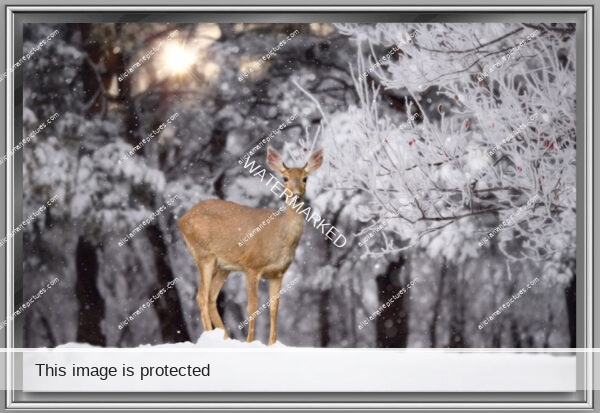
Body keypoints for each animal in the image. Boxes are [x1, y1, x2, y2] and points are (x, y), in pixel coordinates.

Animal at [178, 145, 324, 344]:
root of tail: (182, 220)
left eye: (305, 178)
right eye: (285, 178)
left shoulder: (278, 273)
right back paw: (210, 338)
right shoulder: (252, 265)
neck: (281, 238)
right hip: (203, 254)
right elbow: (253, 306)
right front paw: (250, 341)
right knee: (201, 296)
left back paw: (225, 339)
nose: (296, 195)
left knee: (211, 297)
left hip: (224, 266)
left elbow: (274, 308)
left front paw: (272, 344)